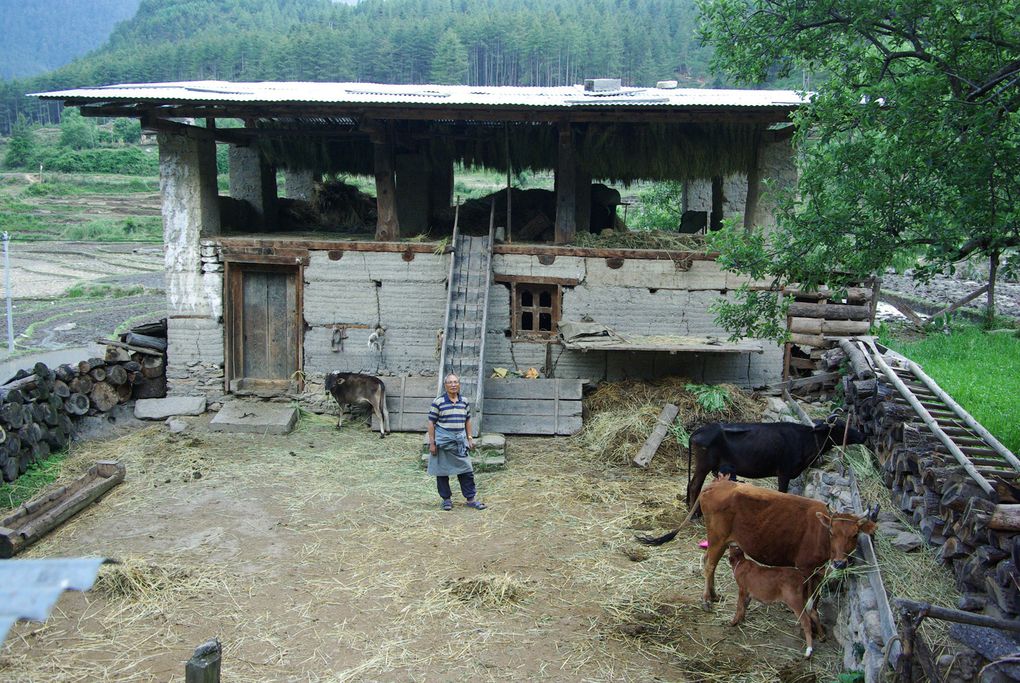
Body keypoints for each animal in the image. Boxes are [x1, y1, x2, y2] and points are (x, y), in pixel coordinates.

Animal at [636, 479, 877, 611]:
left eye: (855, 535)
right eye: (832, 532)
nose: (840, 563)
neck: (819, 531)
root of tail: (714, 485)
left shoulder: (818, 569)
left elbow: (815, 595)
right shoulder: (805, 567)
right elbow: (807, 595)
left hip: (719, 540)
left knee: (708, 562)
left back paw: (713, 595)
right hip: (718, 537)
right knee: (709, 565)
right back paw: (706, 600)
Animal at [685, 419, 869, 511]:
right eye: (841, 427)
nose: (863, 435)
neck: (805, 439)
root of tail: (698, 431)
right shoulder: (784, 472)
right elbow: (782, 493)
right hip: (704, 464)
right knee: (694, 485)